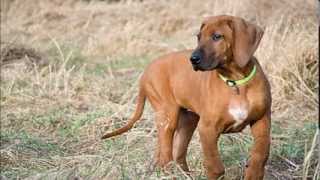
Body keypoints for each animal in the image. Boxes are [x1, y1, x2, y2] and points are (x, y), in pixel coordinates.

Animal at [102, 14, 270, 179]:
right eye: (199, 37)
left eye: (217, 36)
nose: (193, 59)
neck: (236, 82)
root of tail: (145, 72)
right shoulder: (207, 128)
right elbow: (214, 165)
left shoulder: (261, 120)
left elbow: (261, 152)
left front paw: (254, 171)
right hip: (168, 117)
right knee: (166, 156)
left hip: (188, 120)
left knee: (176, 154)